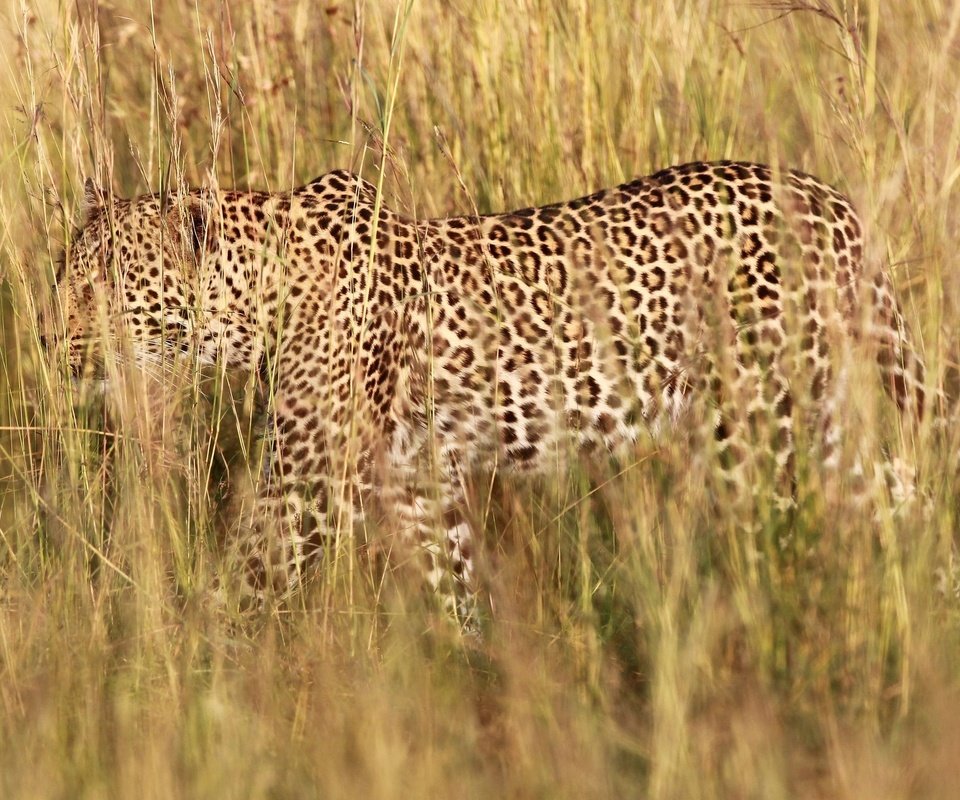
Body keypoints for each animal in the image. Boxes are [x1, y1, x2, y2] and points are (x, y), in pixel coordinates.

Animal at [47, 161, 928, 624]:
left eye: (106, 285)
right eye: (64, 277)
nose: (52, 346)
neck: (256, 303)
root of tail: (835, 204)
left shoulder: (308, 480)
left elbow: (250, 579)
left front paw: (199, 677)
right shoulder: (415, 478)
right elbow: (453, 582)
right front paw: (471, 668)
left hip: (762, 427)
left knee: (796, 533)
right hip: (821, 419)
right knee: (894, 494)